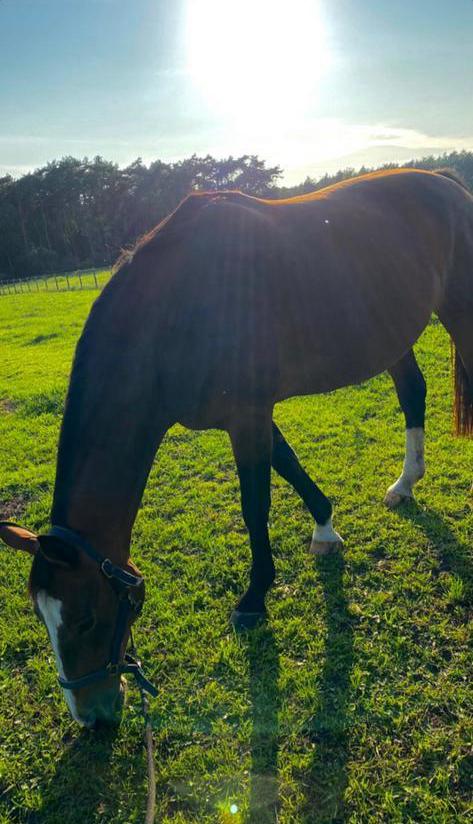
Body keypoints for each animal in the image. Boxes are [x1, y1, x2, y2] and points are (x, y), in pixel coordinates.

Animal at [1, 168, 472, 727]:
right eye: (41, 618)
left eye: (86, 619)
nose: (91, 717)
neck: (176, 308)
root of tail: (445, 182)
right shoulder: (248, 415)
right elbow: (288, 465)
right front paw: (325, 529)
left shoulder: (248, 415)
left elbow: (255, 504)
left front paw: (255, 595)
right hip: (391, 333)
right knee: (412, 392)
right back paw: (405, 484)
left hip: (461, 312)